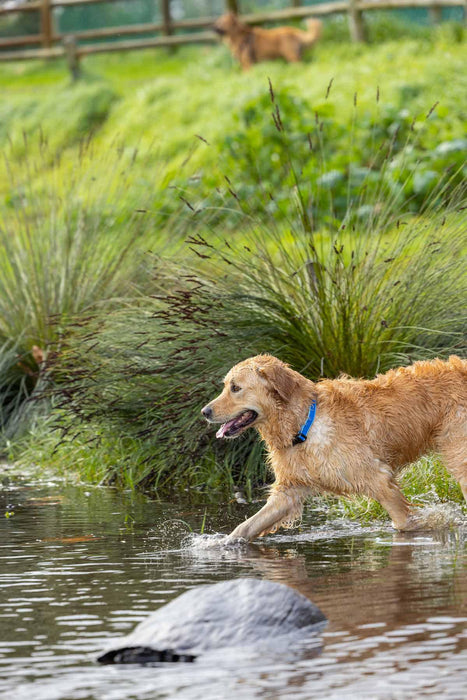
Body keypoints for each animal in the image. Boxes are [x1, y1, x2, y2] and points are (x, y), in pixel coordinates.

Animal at [202, 356, 467, 540]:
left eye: (235, 388)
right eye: (226, 386)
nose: (205, 411)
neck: (303, 424)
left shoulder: (378, 478)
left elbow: (403, 523)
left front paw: (429, 524)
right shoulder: (290, 491)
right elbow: (246, 526)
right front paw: (219, 544)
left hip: (458, 454)